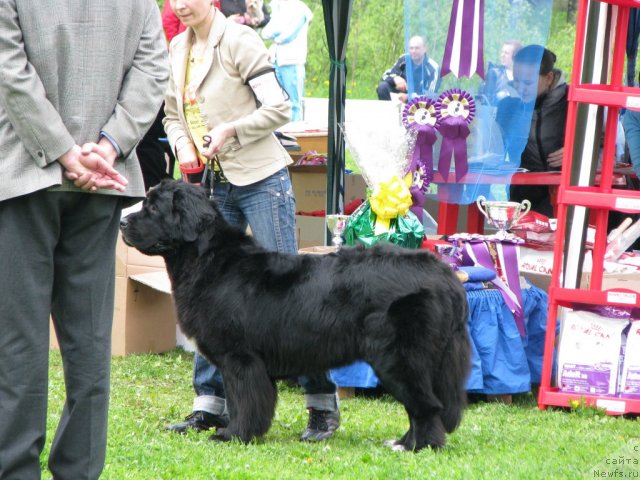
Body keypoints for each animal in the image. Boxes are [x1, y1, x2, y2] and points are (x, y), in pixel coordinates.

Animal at [120, 179, 470, 450]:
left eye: (153, 208)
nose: (123, 223)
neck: (207, 260)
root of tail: (443, 274)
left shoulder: (240, 359)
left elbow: (244, 401)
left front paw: (233, 435)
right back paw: (403, 442)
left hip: (398, 358)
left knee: (426, 406)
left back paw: (416, 446)